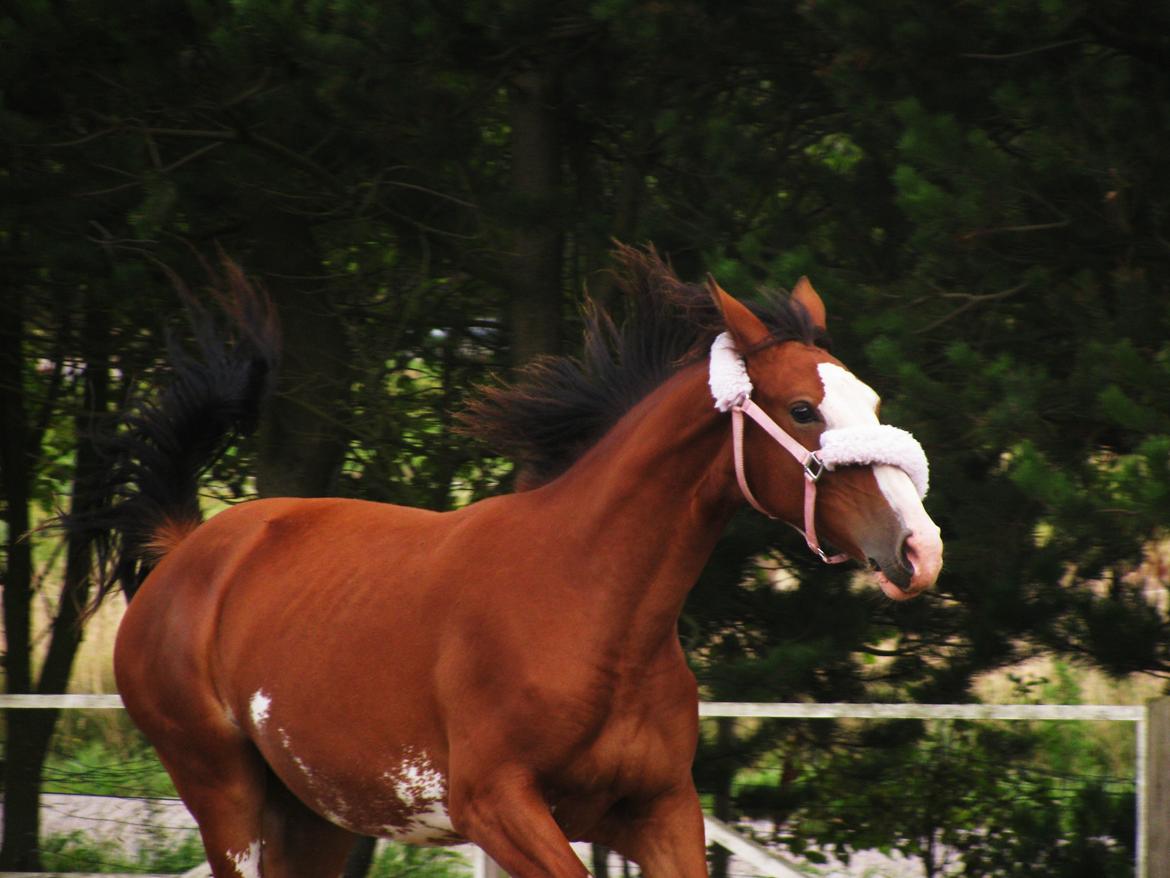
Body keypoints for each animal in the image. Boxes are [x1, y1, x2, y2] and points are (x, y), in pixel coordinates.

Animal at [80, 249, 940, 878]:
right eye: (803, 410)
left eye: (872, 402)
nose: (918, 549)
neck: (595, 611)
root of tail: (186, 547)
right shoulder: (497, 807)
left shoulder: (661, 808)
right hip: (222, 794)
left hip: (314, 814)